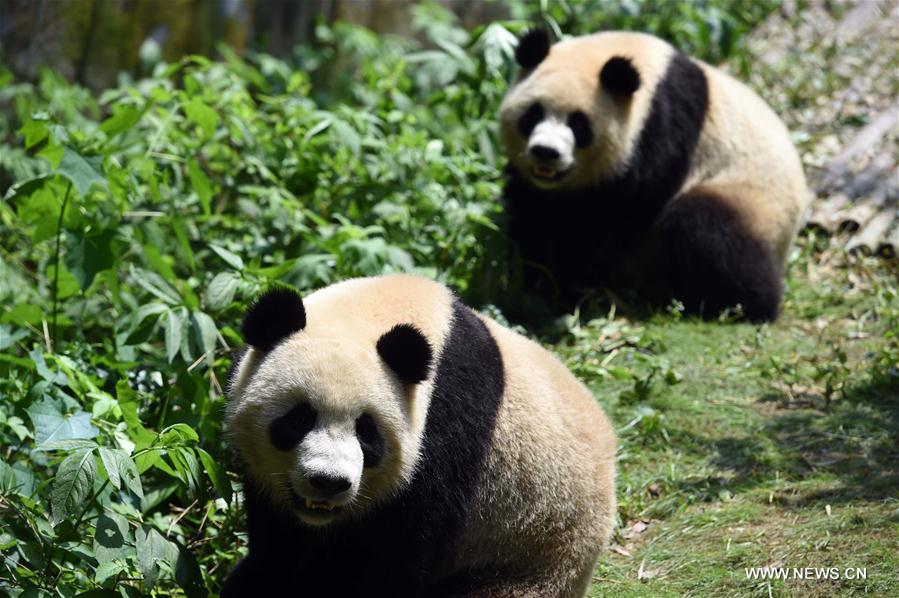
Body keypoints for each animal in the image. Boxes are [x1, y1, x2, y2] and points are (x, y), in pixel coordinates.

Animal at [222, 274, 617, 597]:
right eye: (299, 419)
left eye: (367, 432)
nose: (328, 482)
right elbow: (278, 542)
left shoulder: (446, 428)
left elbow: (397, 558)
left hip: (527, 557)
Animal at [499, 29, 810, 322]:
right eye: (533, 115)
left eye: (579, 125)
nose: (546, 152)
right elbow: (535, 211)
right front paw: (536, 280)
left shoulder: (662, 126)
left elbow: (619, 212)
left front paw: (572, 281)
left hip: (750, 200)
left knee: (708, 229)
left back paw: (742, 306)